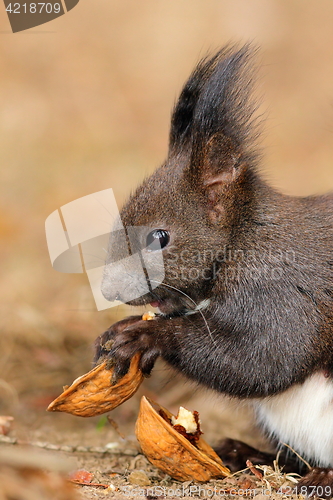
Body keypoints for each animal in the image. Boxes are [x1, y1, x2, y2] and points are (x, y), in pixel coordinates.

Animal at [93, 46, 332, 496]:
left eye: (160, 237)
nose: (110, 290)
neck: (242, 237)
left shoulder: (281, 289)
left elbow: (264, 357)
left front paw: (145, 336)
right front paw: (123, 329)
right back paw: (246, 454)